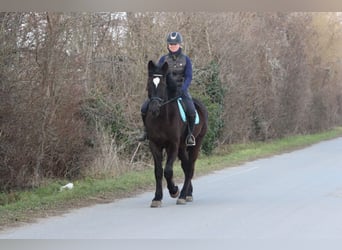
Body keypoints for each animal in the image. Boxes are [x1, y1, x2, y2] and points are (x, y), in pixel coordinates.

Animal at [144, 60, 208, 207]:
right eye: (149, 84)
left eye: (162, 85)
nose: (154, 109)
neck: (161, 118)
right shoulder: (154, 145)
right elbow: (158, 171)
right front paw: (157, 198)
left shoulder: (172, 145)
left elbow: (168, 171)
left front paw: (174, 190)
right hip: (182, 147)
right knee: (186, 166)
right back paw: (188, 193)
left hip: (196, 144)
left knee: (190, 168)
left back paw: (183, 195)